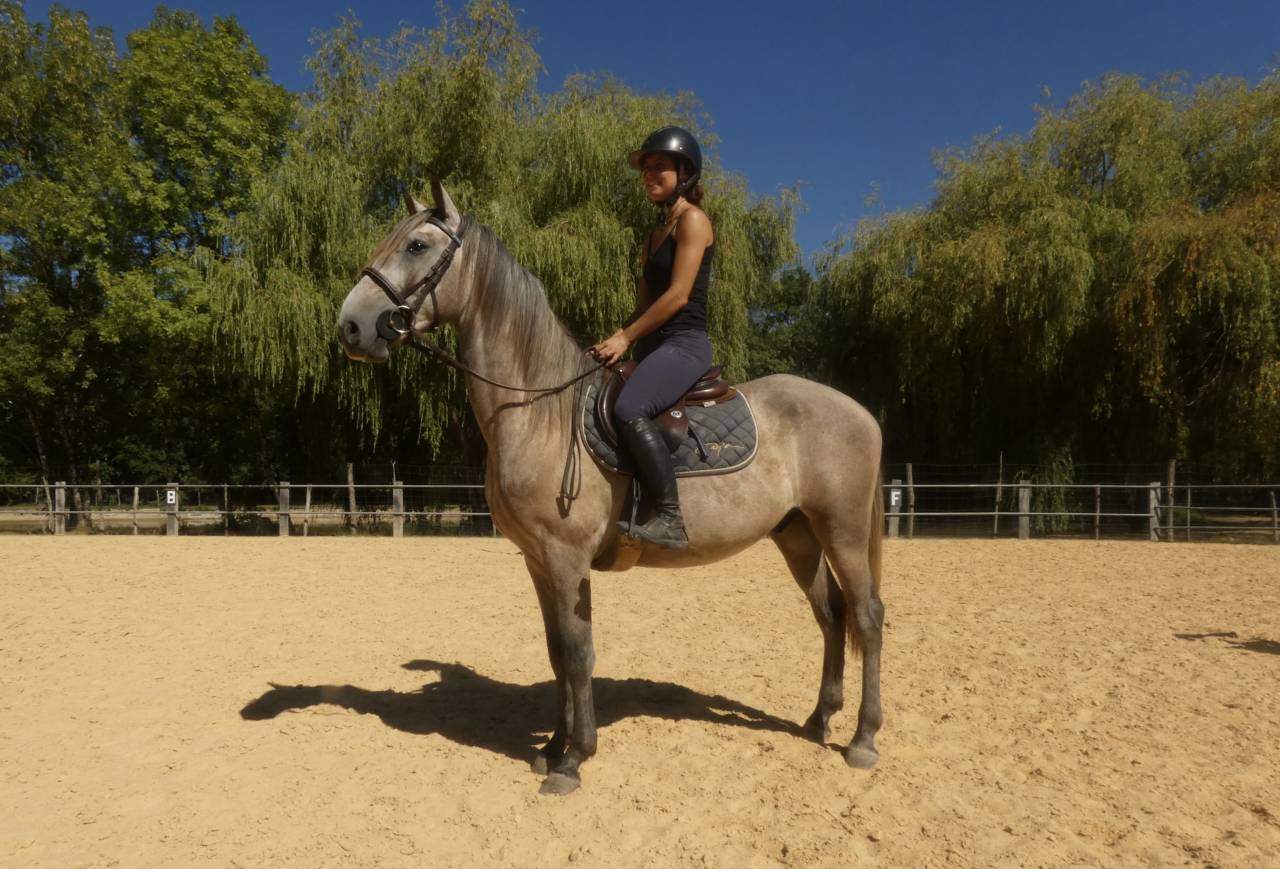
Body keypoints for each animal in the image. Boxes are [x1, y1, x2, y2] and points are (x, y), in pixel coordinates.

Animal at [336, 181, 885, 796]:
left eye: (417, 246)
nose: (351, 325)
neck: (538, 410)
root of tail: (858, 411)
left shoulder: (566, 557)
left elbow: (578, 654)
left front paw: (574, 759)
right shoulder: (537, 560)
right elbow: (556, 652)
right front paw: (552, 747)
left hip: (842, 531)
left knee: (866, 616)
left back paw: (863, 739)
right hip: (798, 536)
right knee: (831, 614)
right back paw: (818, 720)